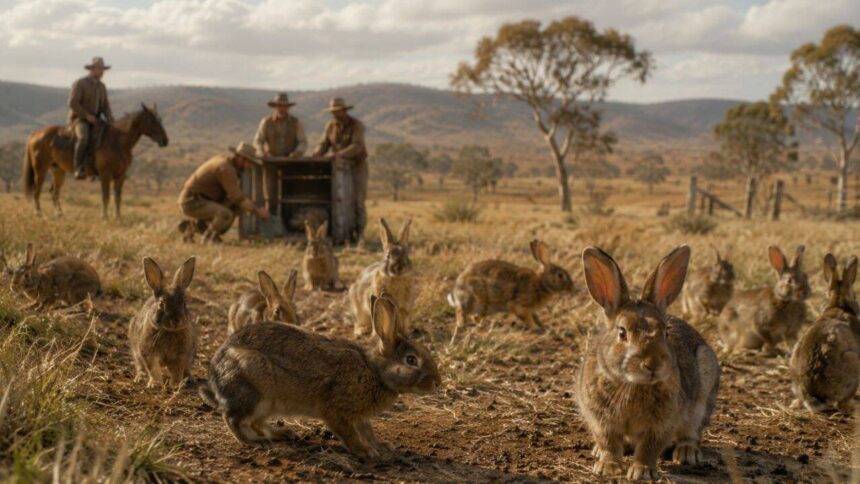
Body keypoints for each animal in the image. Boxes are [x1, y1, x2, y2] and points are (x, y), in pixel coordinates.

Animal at [128, 256, 198, 388]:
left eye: (184, 304)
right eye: (161, 303)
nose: (176, 320)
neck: (169, 331)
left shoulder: (182, 354)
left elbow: (177, 370)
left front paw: (176, 385)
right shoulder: (148, 351)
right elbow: (152, 368)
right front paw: (154, 384)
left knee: (186, 368)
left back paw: (189, 378)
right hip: (136, 351)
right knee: (140, 365)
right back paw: (140, 377)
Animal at [199, 294, 441, 461]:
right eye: (411, 360)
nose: (437, 383)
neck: (375, 371)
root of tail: (215, 379)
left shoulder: (360, 416)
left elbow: (368, 432)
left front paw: (381, 446)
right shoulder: (337, 411)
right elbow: (349, 434)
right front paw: (365, 452)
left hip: (267, 404)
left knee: (256, 422)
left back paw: (282, 433)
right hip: (252, 387)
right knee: (233, 419)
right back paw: (256, 443)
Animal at [578, 245, 720, 481]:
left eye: (666, 332)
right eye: (622, 333)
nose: (653, 364)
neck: (632, 384)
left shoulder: (662, 423)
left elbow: (649, 446)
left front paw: (642, 471)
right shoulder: (600, 419)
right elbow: (608, 442)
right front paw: (608, 466)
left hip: (702, 394)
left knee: (691, 432)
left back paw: (687, 452)